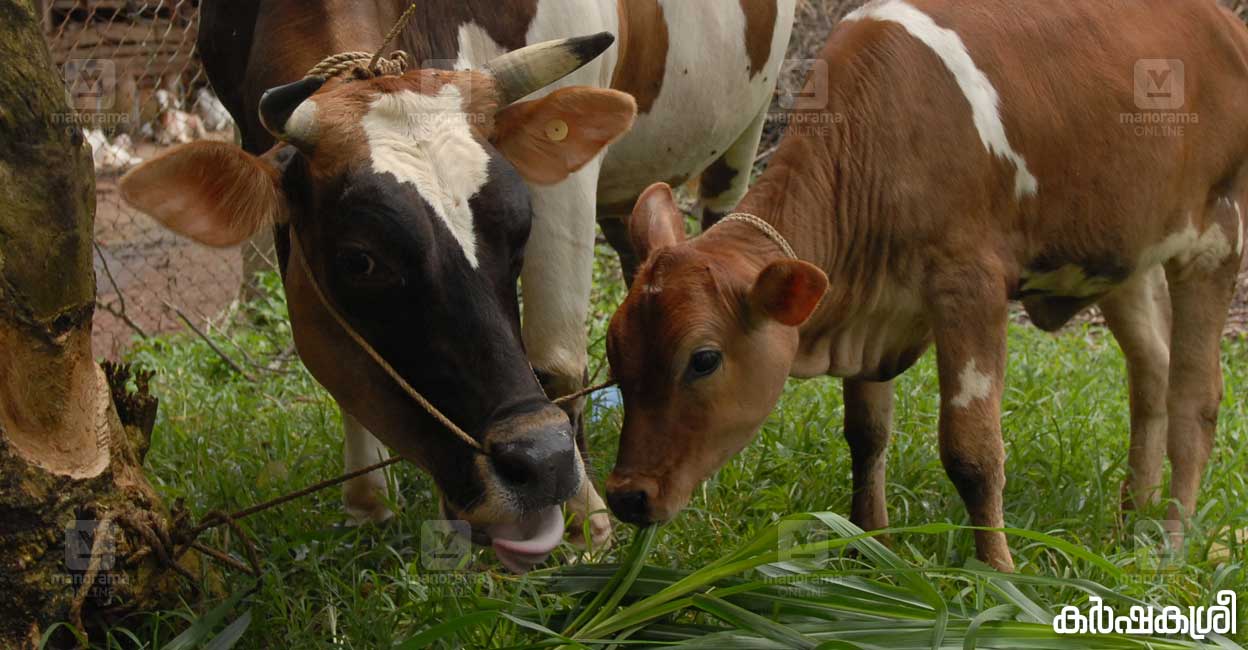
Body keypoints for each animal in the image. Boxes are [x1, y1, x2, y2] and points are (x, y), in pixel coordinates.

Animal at [121, 0, 793, 568]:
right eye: (360, 261)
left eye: (521, 227)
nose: (541, 463)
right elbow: (338, 359)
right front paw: (367, 502)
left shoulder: (563, 177)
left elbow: (556, 364)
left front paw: (584, 522)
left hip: (745, 128)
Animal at [599, 0, 1243, 571]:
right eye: (615, 350)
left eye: (704, 359)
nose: (627, 494)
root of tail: (1222, 21)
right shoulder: (868, 303)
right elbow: (865, 434)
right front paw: (868, 545)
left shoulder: (971, 285)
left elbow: (971, 450)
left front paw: (998, 573)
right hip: (1124, 252)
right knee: (1151, 371)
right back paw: (1128, 517)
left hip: (1216, 235)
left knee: (1196, 394)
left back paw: (1170, 541)